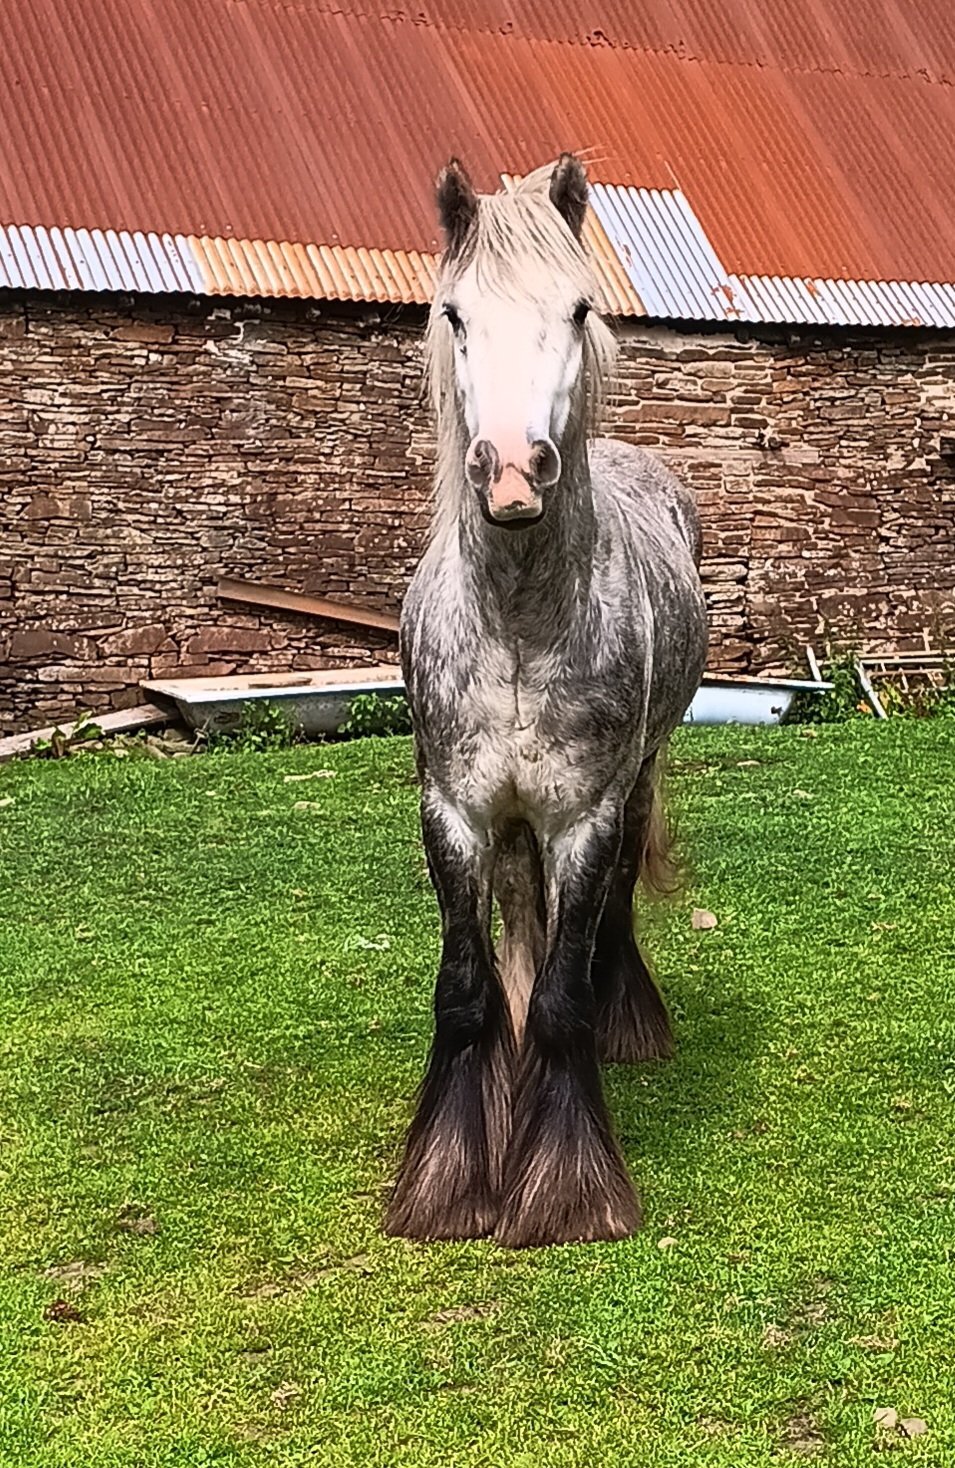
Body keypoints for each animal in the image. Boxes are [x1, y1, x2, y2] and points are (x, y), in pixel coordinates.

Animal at [387, 155, 707, 1248]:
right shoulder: (453, 811)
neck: (520, 624)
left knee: (609, 911)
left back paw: (625, 1022)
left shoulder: (583, 815)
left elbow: (566, 986)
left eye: (577, 308)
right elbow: (464, 986)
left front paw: (566, 1188)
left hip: (636, 780)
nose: (514, 475)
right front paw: (448, 1183)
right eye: (454, 313)